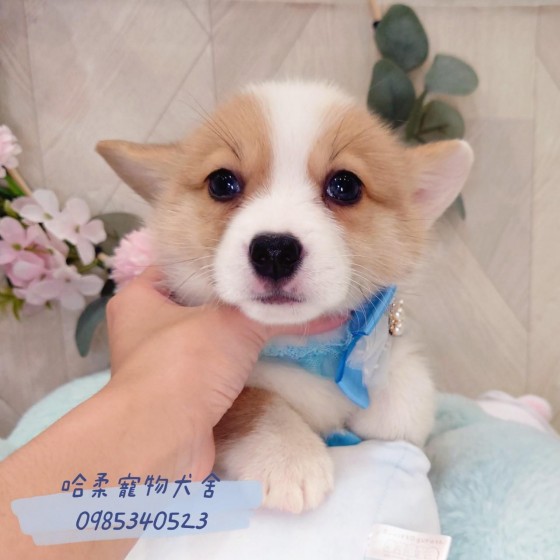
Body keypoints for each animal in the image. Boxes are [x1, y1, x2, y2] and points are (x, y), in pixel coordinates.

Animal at [97, 81, 473, 514]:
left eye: (345, 186)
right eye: (221, 183)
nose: (274, 251)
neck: (303, 346)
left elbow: (406, 387)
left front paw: (391, 409)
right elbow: (249, 400)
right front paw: (286, 454)